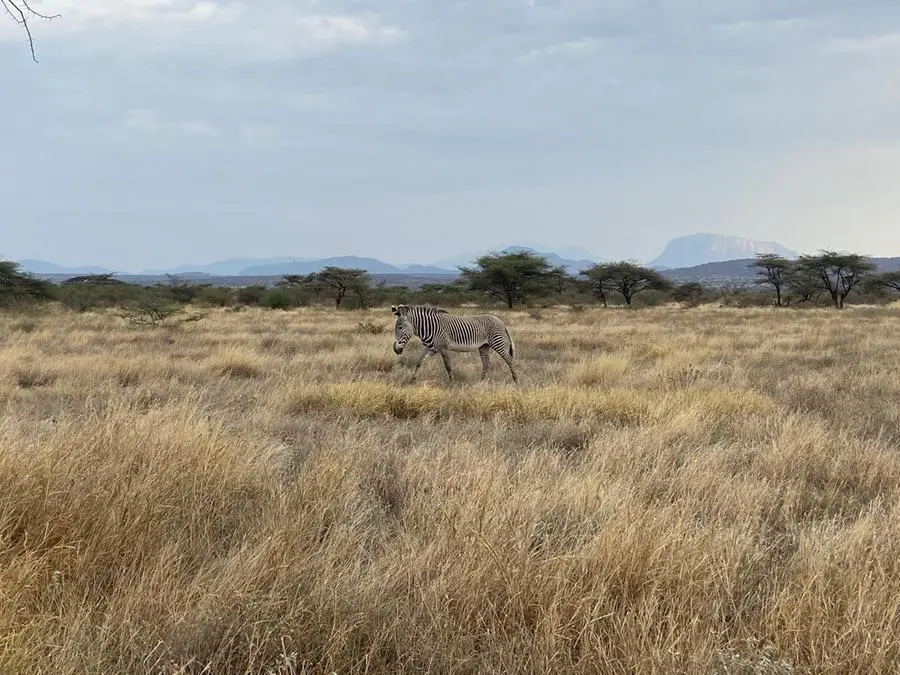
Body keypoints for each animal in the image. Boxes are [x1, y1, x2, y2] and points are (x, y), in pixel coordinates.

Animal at [388, 304, 520, 382]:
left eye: (400, 327)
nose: (396, 350)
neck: (429, 328)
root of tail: (501, 322)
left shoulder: (443, 348)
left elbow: (448, 366)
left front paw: (452, 382)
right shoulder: (431, 349)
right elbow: (419, 362)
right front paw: (412, 379)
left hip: (498, 343)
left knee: (509, 359)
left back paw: (515, 380)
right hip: (484, 346)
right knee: (487, 363)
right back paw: (482, 381)